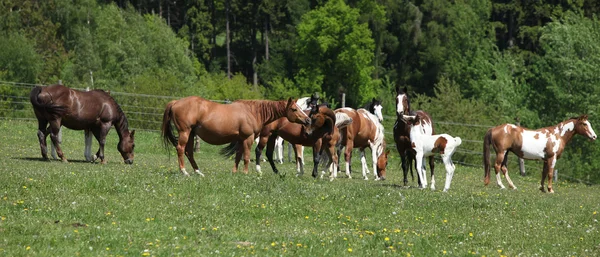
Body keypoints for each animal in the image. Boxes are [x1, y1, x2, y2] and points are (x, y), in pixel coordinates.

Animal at [161, 95, 310, 175]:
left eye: (300, 108)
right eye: (294, 109)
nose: (308, 120)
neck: (253, 112)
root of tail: (175, 102)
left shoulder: (240, 139)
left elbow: (238, 156)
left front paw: (234, 172)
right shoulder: (248, 138)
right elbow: (246, 157)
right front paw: (246, 173)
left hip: (191, 134)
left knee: (189, 152)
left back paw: (198, 172)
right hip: (185, 132)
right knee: (180, 149)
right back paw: (184, 172)